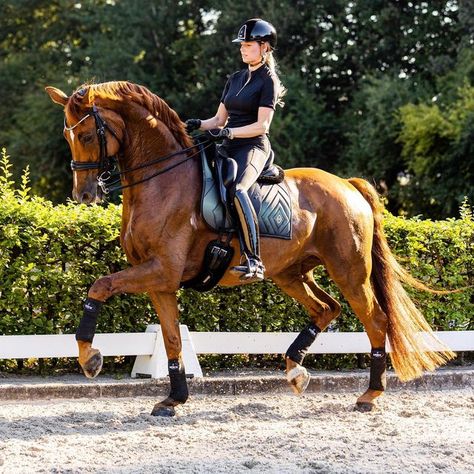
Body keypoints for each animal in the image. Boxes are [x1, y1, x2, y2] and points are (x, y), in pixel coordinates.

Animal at [45, 80, 456, 414]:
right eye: (66, 136)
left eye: (86, 136)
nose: (84, 195)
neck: (161, 180)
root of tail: (347, 185)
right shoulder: (160, 281)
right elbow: (173, 339)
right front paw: (173, 400)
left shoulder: (161, 270)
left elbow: (100, 286)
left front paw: (90, 357)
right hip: (291, 273)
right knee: (326, 308)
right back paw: (296, 371)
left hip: (349, 271)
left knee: (375, 321)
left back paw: (370, 395)